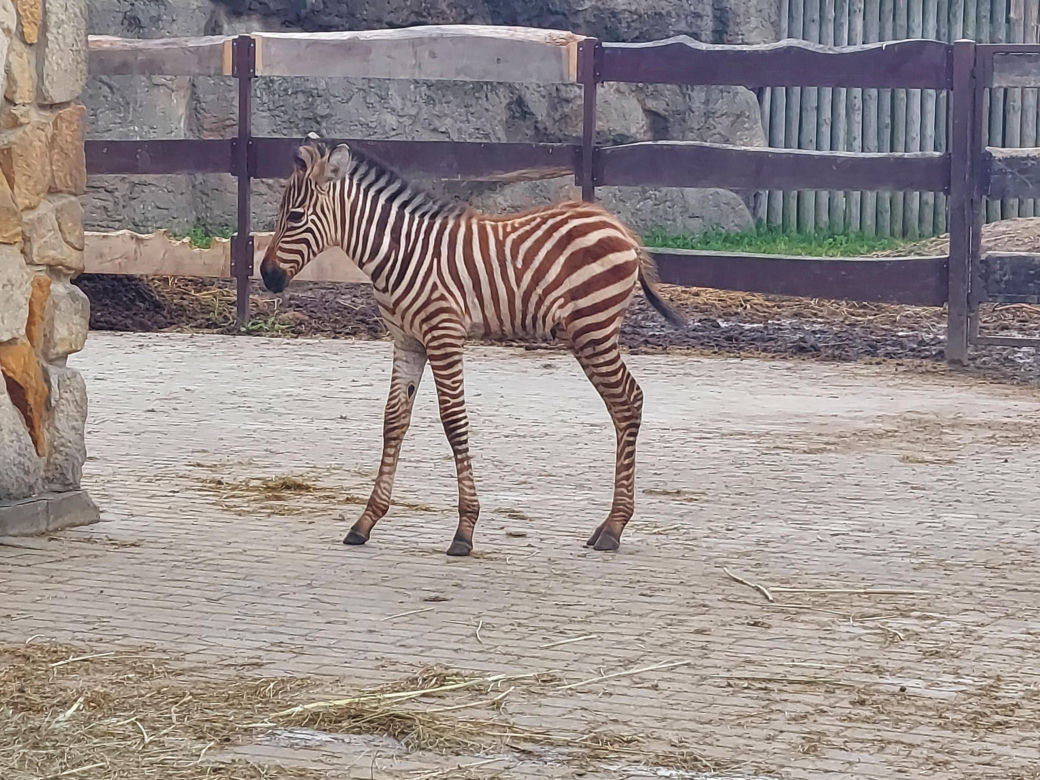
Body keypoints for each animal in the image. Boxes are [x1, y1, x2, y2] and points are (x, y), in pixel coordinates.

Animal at [260, 134, 684, 557]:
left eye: (294, 216)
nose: (267, 276)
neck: (400, 254)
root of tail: (618, 227)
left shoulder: (443, 335)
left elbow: (454, 422)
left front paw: (464, 530)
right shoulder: (407, 341)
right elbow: (393, 421)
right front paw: (366, 521)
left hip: (593, 330)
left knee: (628, 402)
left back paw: (614, 527)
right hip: (589, 334)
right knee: (624, 404)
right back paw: (608, 526)